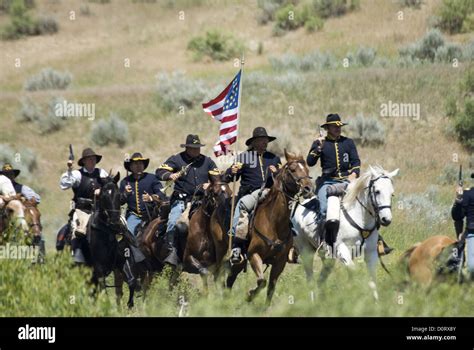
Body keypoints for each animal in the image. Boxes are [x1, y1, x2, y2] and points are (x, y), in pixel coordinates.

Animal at [88, 174, 138, 308]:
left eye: (119, 195)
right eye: (103, 196)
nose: (115, 223)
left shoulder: (122, 262)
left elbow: (132, 282)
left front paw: (130, 305)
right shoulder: (99, 268)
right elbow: (103, 290)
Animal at [223, 150, 312, 304]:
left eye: (306, 169)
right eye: (292, 169)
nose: (308, 188)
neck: (274, 223)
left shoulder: (280, 262)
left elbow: (270, 287)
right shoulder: (254, 255)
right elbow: (261, 282)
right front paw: (249, 295)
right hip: (238, 259)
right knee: (229, 280)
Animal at [290, 165, 398, 300]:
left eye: (392, 193)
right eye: (377, 191)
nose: (386, 219)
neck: (360, 218)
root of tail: (298, 206)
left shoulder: (371, 252)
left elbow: (372, 279)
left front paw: (375, 301)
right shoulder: (341, 248)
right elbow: (352, 270)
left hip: (326, 256)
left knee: (321, 278)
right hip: (306, 251)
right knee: (310, 278)